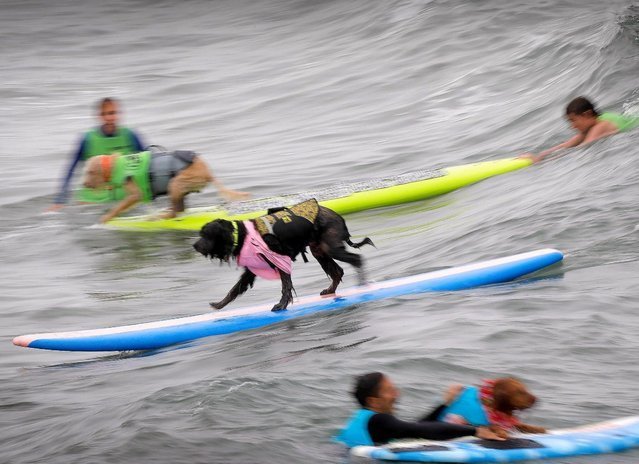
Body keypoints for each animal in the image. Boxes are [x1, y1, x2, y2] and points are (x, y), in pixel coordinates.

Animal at [192, 198, 372, 312]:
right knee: (337, 271)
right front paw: (219, 304)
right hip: (318, 250)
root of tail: (339, 217)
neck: (241, 235)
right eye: (201, 234)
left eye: (206, 235)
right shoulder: (252, 269)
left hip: (331, 247)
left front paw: (281, 305)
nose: (194, 245)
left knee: (356, 260)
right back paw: (330, 290)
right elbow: (235, 289)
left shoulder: (280, 260)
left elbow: (285, 286)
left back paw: (362, 284)